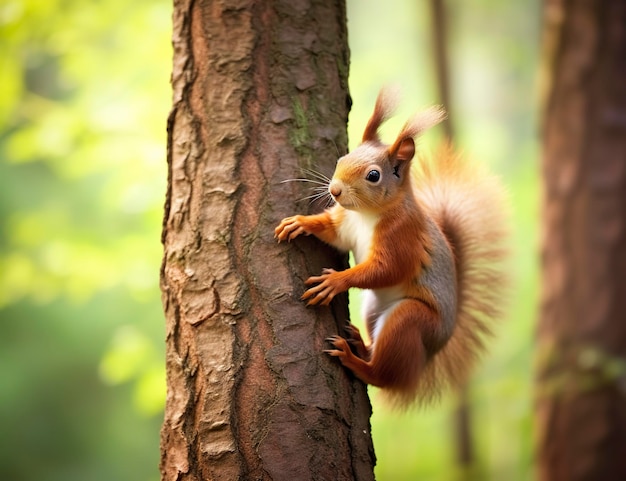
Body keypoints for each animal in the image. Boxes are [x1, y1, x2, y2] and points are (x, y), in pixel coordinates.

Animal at [272, 87, 508, 404]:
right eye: (341, 159)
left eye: (373, 175)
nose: (335, 190)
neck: (366, 215)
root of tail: (432, 353)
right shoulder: (345, 225)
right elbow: (331, 232)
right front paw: (300, 222)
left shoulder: (402, 237)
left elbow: (388, 269)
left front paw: (334, 282)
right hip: (373, 310)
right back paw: (360, 344)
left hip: (410, 321)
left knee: (384, 376)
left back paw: (354, 360)